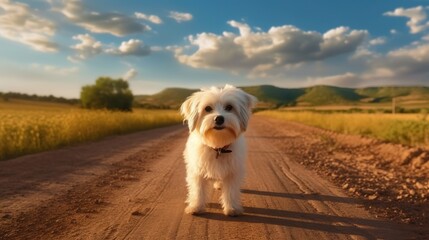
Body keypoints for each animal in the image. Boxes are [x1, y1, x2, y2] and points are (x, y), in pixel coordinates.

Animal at [179, 84, 256, 216]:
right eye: (208, 108)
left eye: (229, 107)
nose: (219, 118)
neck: (218, 146)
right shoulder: (197, 171)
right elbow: (198, 189)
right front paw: (196, 206)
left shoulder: (232, 172)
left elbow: (231, 191)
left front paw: (232, 208)